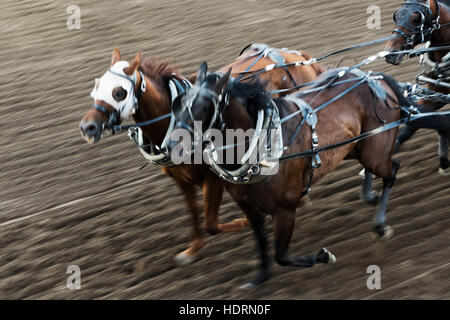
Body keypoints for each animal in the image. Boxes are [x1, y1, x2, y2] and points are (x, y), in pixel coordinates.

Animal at [78, 46, 324, 264]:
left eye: (119, 92)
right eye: (96, 88)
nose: (88, 127)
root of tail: (293, 56)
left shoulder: (212, 180)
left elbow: (211, 224)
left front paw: (243, 222)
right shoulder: (181, 181)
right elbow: (194, 214)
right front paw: (193, 249)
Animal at [170, 61, 408, 288]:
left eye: (205, 106)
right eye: (178, 103)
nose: (173, 145)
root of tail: (374, 78)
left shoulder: (285, 208)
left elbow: (282, 256)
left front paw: (324, 256)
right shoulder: (249, 207)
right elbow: (262, 243)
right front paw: (260, 278)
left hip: (374, 152)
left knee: (392, 171)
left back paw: (380, 225)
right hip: (354, 148)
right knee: (385, 165)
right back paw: (369, 196)